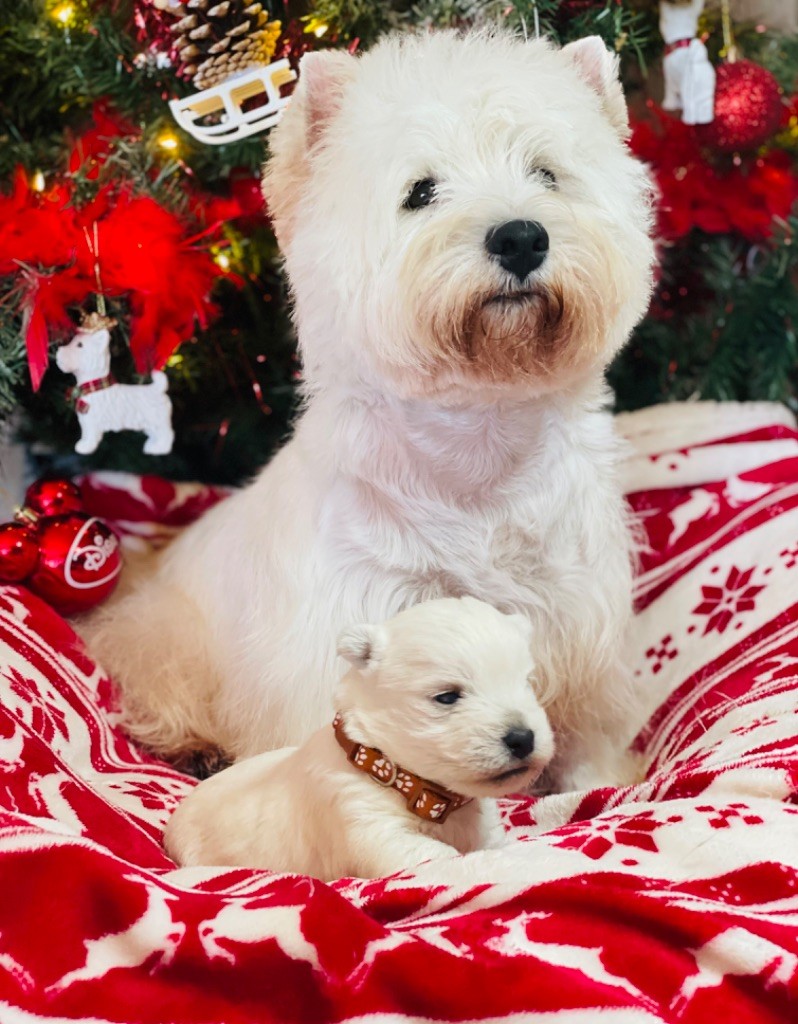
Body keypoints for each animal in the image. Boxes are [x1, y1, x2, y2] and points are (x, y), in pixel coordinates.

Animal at [80, 28, 655, 786]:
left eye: (547, 174)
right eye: (421, 191)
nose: (521, 237)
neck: (477, 445)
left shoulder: (581, 629)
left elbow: (589, 748)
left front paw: (607, 790)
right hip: (161, 640)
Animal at [164, 598, 553, 880]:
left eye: (526, 683)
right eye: (446, 696)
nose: (523, 738)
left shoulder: (482, 826)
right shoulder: (365, 823)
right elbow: (436, 855)